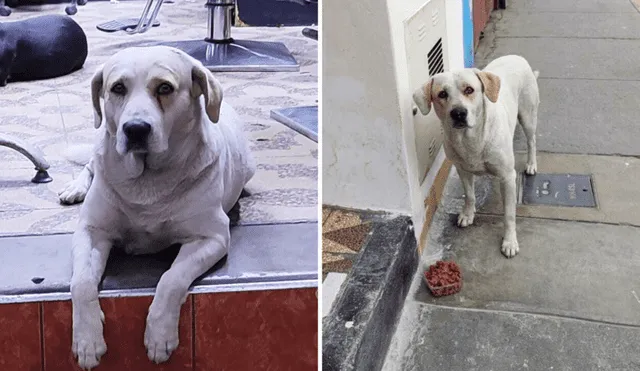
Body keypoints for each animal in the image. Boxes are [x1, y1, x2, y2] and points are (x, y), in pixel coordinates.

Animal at [58, 45, 256, 370]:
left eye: (164, 87)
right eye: (118, 88)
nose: (135, 129)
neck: (147, 179)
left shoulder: (212, 238)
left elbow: (171, 279)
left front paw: (159, 335)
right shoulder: (91, 231)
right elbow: (82, 282)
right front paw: (87, 340)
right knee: (89, 164)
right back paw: (75, 188)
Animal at [410, 55, 540, 258]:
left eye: (469, 90)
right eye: (442, 94)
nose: (458, 113)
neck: (470, 140)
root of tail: (517, 57)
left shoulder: (508, 177)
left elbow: (509, 214)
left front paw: (510, 241)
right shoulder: (462, 170)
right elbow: (469, 196)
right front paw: (467, 214)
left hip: (528, 116)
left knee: (531, 141)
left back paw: (531, 164)